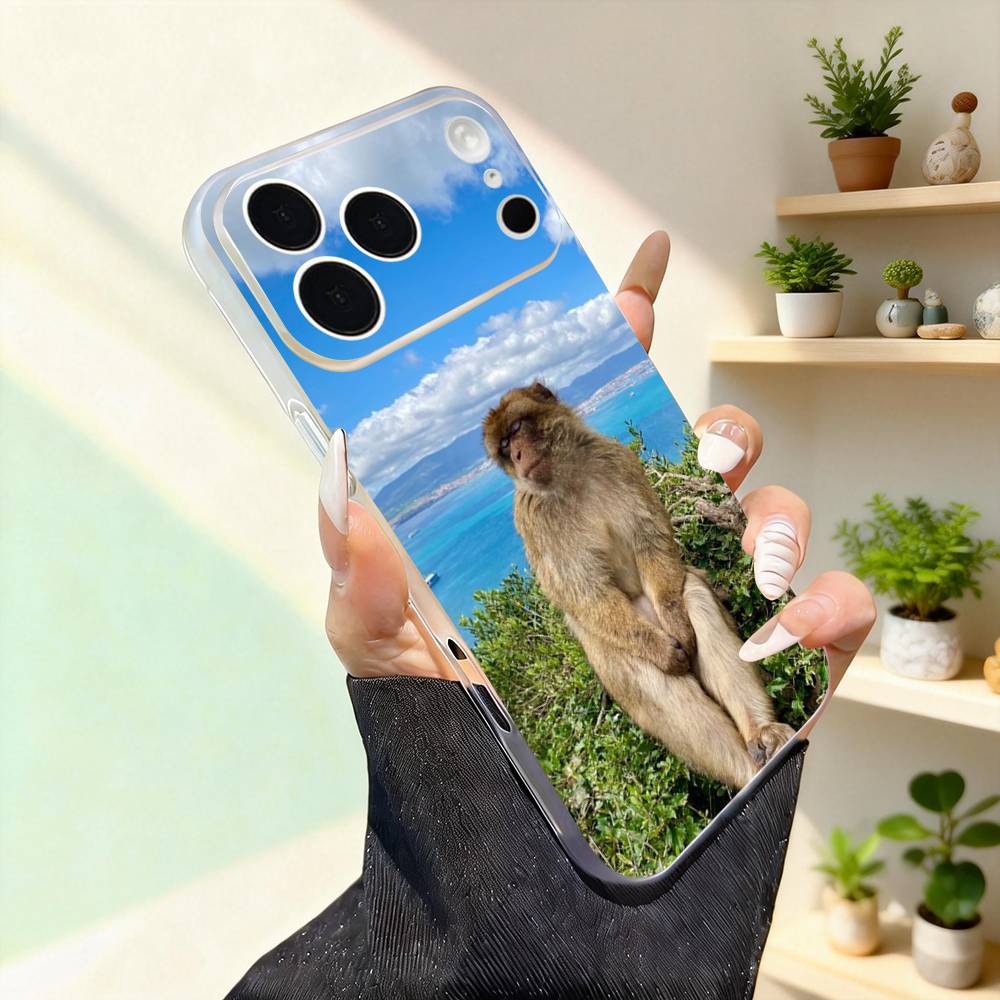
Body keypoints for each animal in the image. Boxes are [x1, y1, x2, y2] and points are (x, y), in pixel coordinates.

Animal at [482, 381, 794, 788]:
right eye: (504, 447)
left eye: (517, 427)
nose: (517, 455)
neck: (569, 478)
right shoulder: (534, 521)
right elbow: (587, 594)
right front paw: (662, 652)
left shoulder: (616, 459)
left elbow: (651, 541)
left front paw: (680, 621)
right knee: (636, 664)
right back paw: (748, 769)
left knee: (692, 595)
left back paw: (761, 734)